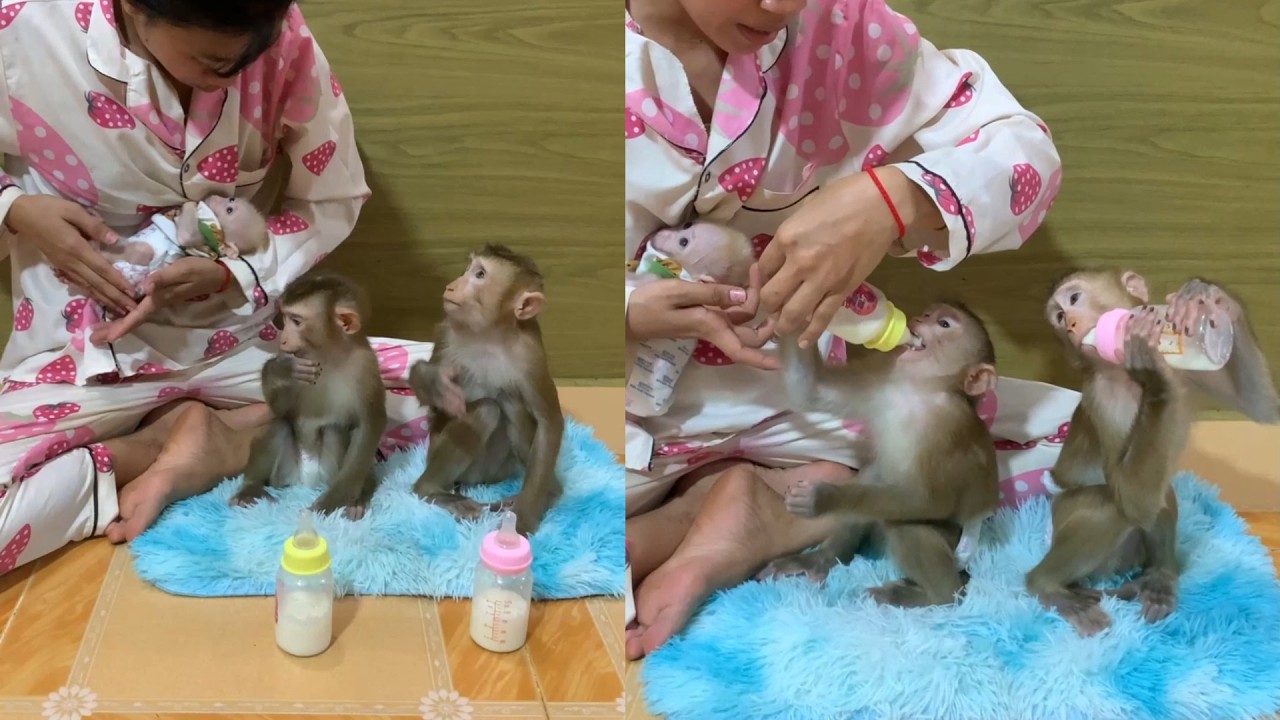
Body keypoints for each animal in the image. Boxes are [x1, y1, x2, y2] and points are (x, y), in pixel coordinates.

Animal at [231, 272, 387, 520]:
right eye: (284, 318)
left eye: (296, 321)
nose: (282, 339)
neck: (328, 355)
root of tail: (305, 482)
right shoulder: (294, 356)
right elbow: (282, 410)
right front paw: (280, 370)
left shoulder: (366, 367)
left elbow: (369, 423)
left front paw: (337, 500)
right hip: (283, 475)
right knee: (281, 425)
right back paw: (251, 488)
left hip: (328, 472)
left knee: (335, 430)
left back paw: (359, 497)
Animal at [408, 244, 565, 535]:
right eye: (468, 269)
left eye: (479, 274)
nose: (451, 286)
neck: (490, 335)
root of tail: (478, 482)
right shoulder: (448, 331)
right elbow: (434, 403)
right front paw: (437, 386)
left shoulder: (531, 353)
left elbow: (549, 423)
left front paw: (522, 519)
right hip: (440, 456)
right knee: (487, 410)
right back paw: (431, 490)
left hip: (501, 469)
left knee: (511, 402)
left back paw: (548, 492)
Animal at [758, 302, 1000, 608]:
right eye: (928, 312)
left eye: (944, 324)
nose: (917, 319)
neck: (919, 393)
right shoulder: (884, 386)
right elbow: (811, 390)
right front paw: (796, 315)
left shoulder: (948, 429)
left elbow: (928, 500)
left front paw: (821, 498)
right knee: (873, 477)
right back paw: (820, 559)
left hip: (954, 543)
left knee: (904, 522)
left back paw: (934, 596)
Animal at [1025, 270, 1279, 636]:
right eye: (1059, 318)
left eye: (1073, 301)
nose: (1071, 324)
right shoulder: (1106, 396)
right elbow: (1133, 498)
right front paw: (1150, 368)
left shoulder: (1188, 372)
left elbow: (1262, 408)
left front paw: (1212, 299)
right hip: (1067, 527)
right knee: (1110, 507)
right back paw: (1047, 586)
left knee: (1164, 492)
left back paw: (1159, 578)